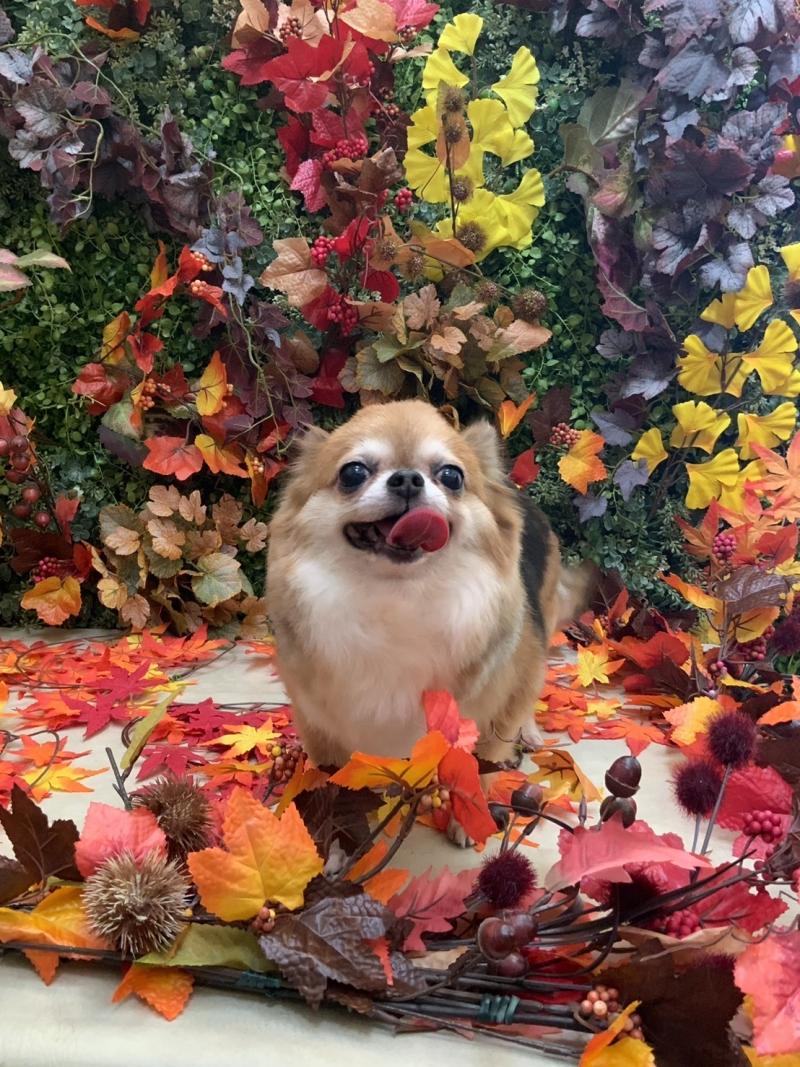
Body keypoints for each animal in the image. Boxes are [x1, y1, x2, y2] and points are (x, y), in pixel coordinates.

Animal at [266, 399, 593, 773]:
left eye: (452, 476)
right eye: (353, 473)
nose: (407, 478)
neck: (400, 599)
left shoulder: (493, 717)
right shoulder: (321, 728)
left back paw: (530, 733)